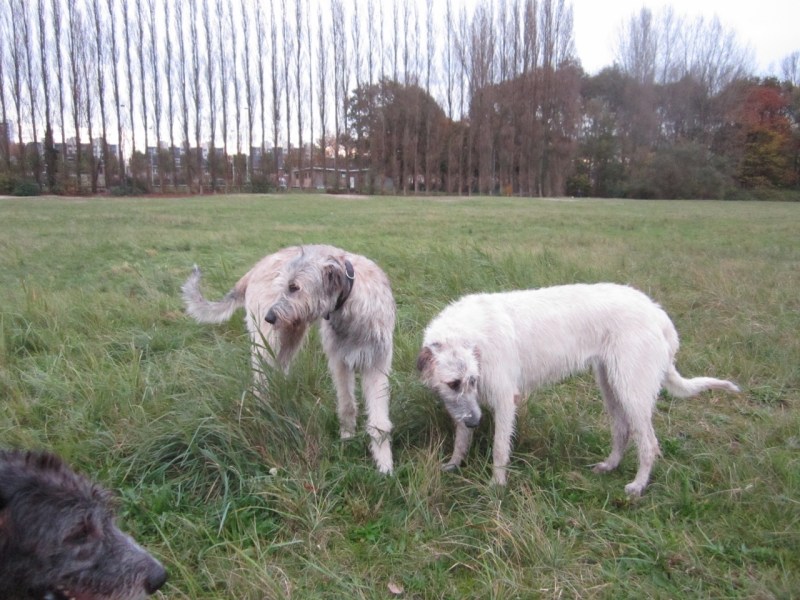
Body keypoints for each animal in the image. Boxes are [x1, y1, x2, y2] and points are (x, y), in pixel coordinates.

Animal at [182, 244, 396, 474]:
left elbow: (379, 419)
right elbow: (347, 404)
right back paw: (264, 413)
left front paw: (384, 463)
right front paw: (347, 439)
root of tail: (255, 268)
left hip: (289, 338)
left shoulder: (377, 361)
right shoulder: (339, 360)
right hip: (268, 341)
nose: (269, 317)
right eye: (284, 285)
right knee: (260, 380)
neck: (349, 302)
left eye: (294, 287)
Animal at [416, 283, 740, 496]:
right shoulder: (465, 404)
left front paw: (497, 486)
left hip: (631, 389)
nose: (475, 422)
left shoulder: (505, 399)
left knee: (649, 443)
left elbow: (498, 448)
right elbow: (461, 438)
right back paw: (609, 466)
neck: (469, 332)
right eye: (454, 383)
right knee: (621, 430)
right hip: (610, 384)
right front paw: (454, 464)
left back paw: (637, 486)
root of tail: (657, 313)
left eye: (471, 380)